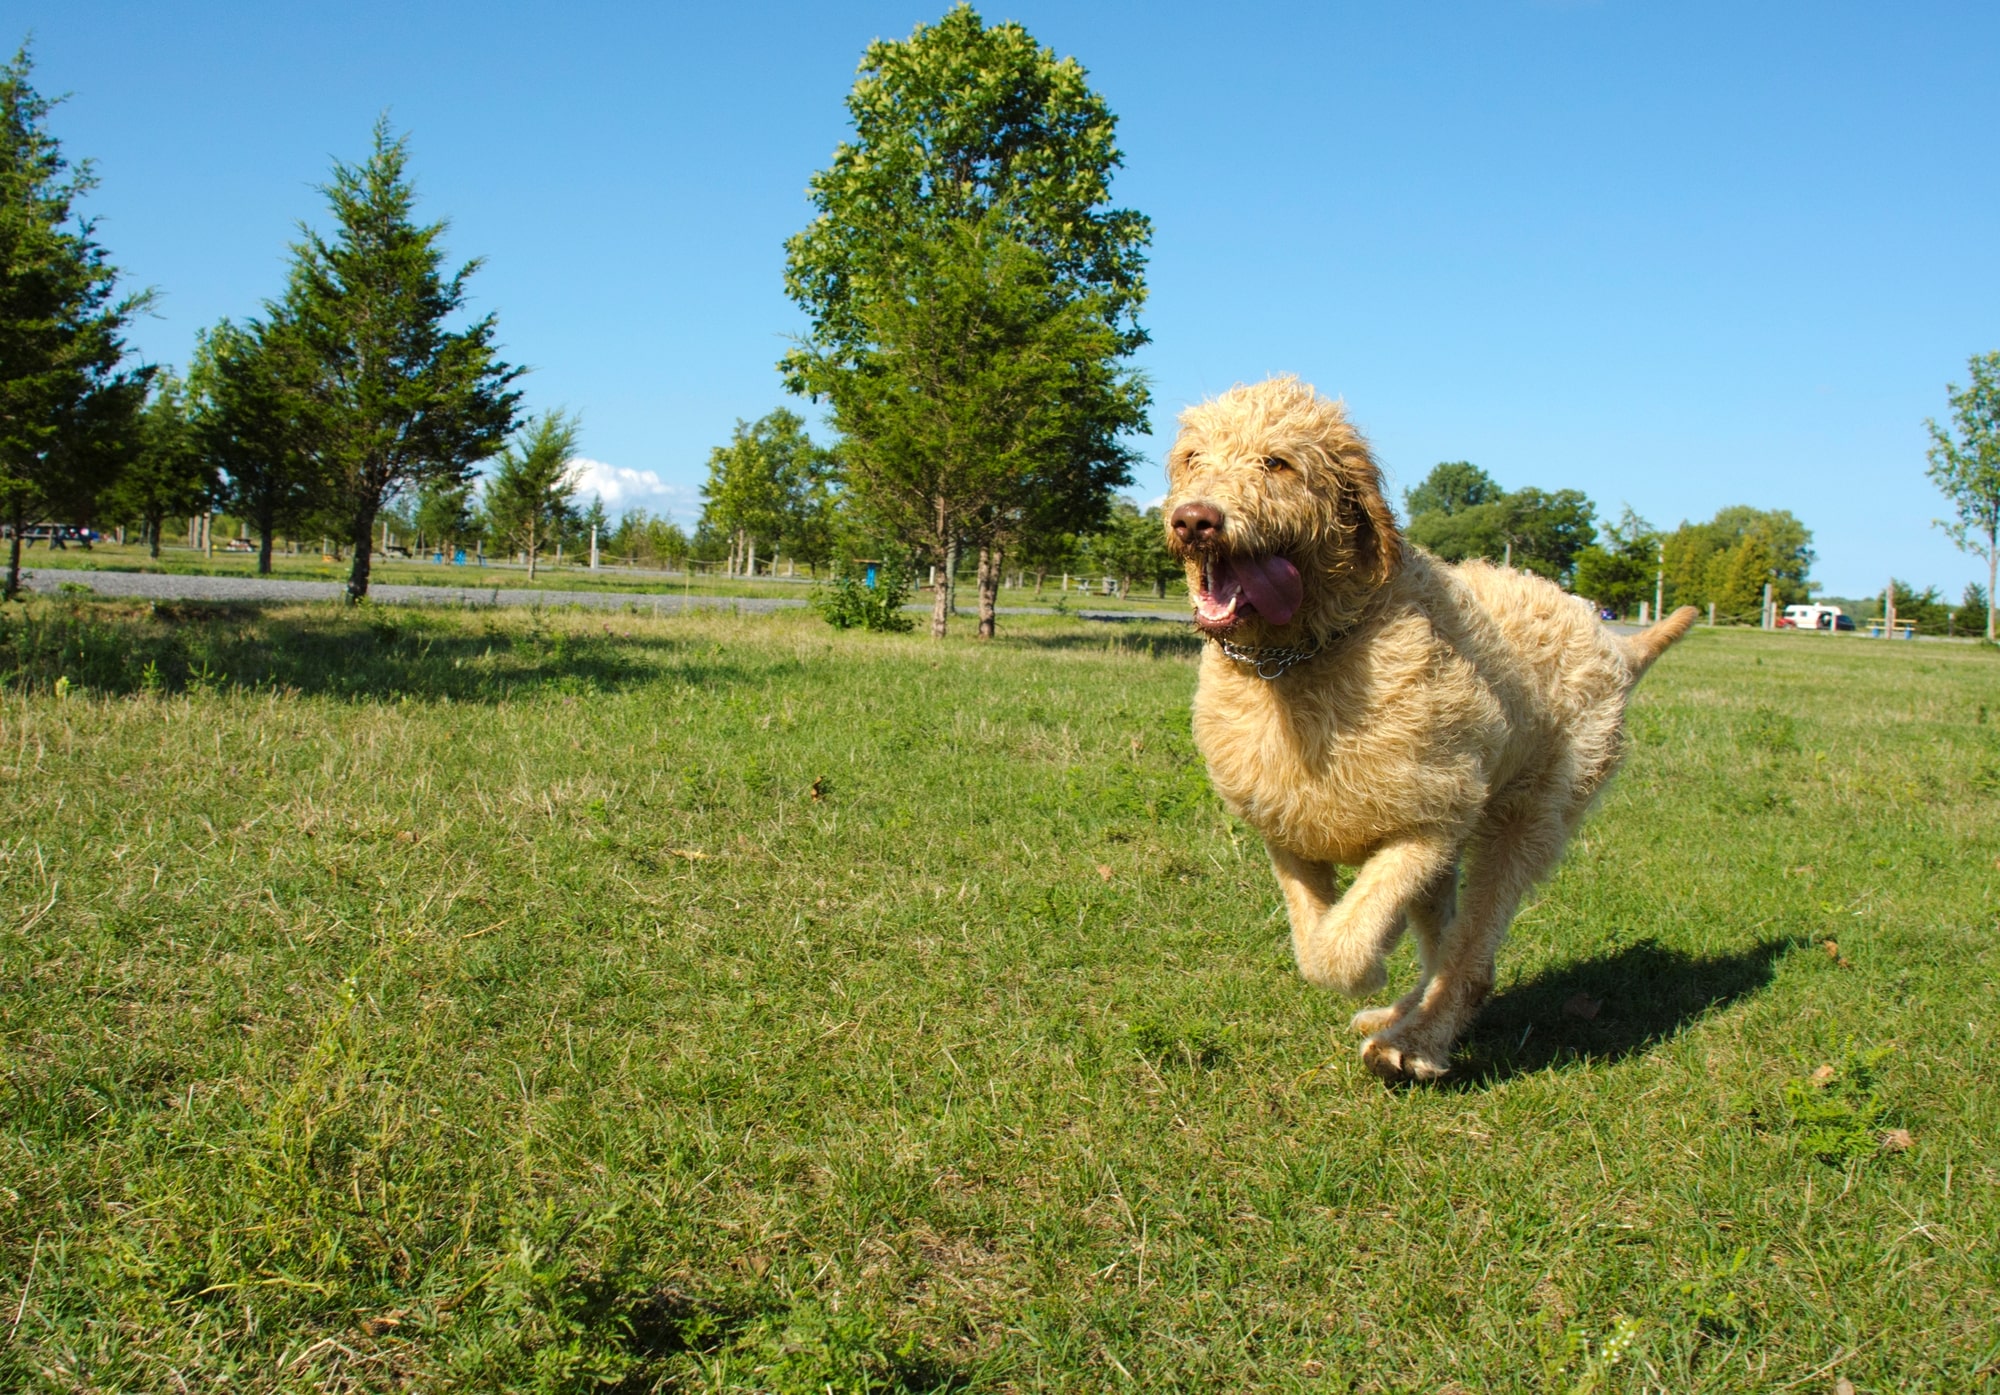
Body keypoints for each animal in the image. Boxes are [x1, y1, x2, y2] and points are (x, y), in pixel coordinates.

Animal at [1168, 375, 1696, 1079]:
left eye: (1277, 462)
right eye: (1193, 459)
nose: (1194, 519)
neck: (1304, 658)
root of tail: (1613, 641)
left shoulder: (1427, 825)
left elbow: (1343, 949)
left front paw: (1371, 961)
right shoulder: (1288, 831)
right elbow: (1315, 945)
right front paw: (1367, 961)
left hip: (1527, 819)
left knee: (1470, 955)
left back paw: (1414, 1042)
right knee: (1449, 946)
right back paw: (1401, 1015)